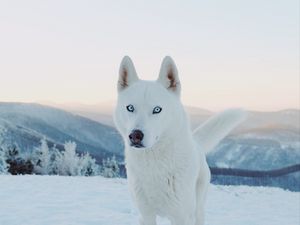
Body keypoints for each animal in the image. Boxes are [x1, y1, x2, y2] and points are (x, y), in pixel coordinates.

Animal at [113, 56, 245, 225]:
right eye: (130, 108)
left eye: (157, 109)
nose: (135, 135)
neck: (154, 165)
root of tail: (197, 144)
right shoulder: (146, 215)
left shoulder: (181, 216)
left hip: (197, 210)